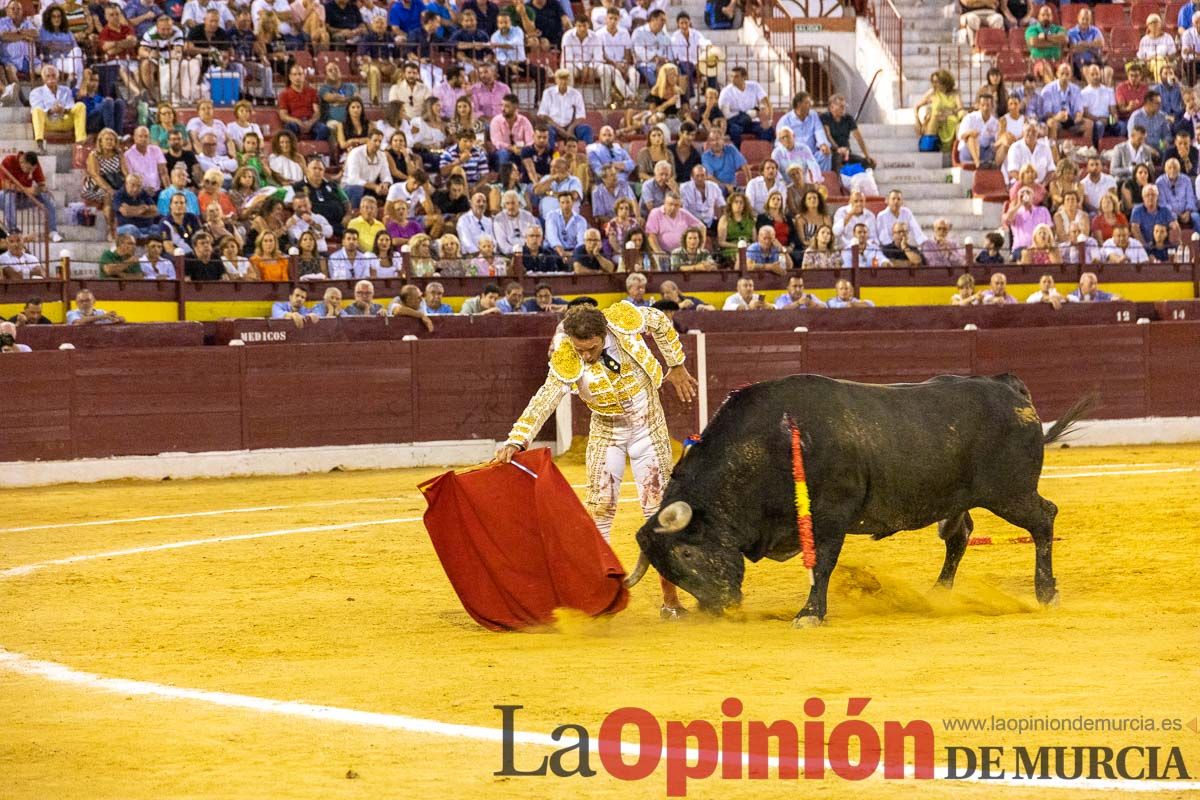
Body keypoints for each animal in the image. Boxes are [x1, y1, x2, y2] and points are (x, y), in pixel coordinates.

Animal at [624, 376, 1094, 623]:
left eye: (685, 553)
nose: (721, 608)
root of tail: (1007, 388)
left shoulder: (830, 517)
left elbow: (821, 564)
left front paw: (810, 613)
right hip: (961, 499)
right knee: (960, 537)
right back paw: (938, 593)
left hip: (1010, 492)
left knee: (1043, 519)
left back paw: (1045, 592)